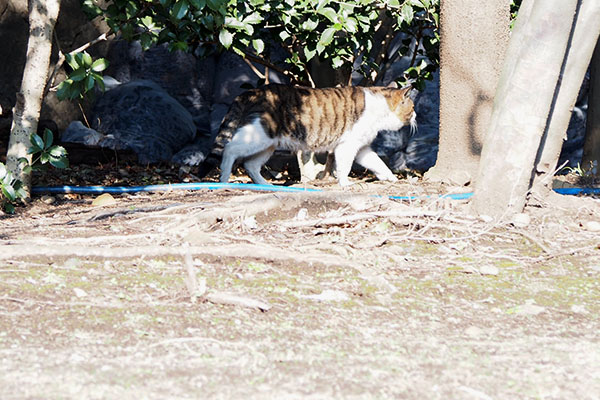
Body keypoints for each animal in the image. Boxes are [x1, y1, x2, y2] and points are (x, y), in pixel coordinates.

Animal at [213, 83, 414, 187]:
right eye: (412, 108)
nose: (416, 116)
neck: (380, 108)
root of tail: (252, 91)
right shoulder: (347, 146)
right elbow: (344, 167)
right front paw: (345, 183)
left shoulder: (361, 147)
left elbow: (377, 163)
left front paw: (390, 177)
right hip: (259, 134)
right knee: (230, 150)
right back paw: (224, 178)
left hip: (268, 144)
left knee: (250, 165)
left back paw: (264, 184)